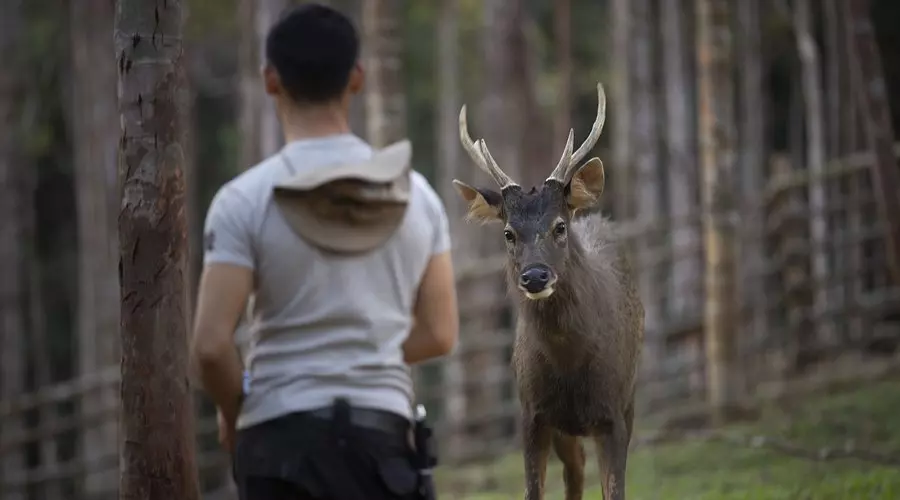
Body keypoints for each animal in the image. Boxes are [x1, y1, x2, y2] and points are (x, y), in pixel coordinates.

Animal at [451, 83, 644, 500]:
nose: (535, 277)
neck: (569, 363)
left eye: (559, 226)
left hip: (631, 394)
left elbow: (615, 490)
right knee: (575, 471)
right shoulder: (531, 416)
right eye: (509, 233)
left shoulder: (613, 413)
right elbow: (533, 491)